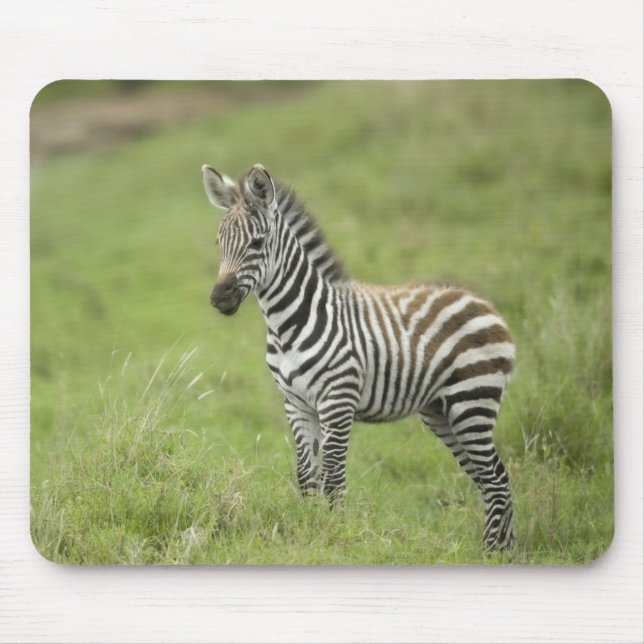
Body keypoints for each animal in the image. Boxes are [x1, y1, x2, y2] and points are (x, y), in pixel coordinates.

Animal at [202, 163, 516, 551]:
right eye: (219, 243)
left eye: (257, 243)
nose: (219, 298)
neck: (289, 324)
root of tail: (484, 302)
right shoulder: (296, 403)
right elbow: (306, 478)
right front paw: (308, 530)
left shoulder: (337, 401)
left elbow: (333, 480)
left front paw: (333, 536)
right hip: (442, 412)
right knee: (489, 478)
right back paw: (505, 550)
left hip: (472, 402)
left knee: (496, 479)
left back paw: (492, 552)